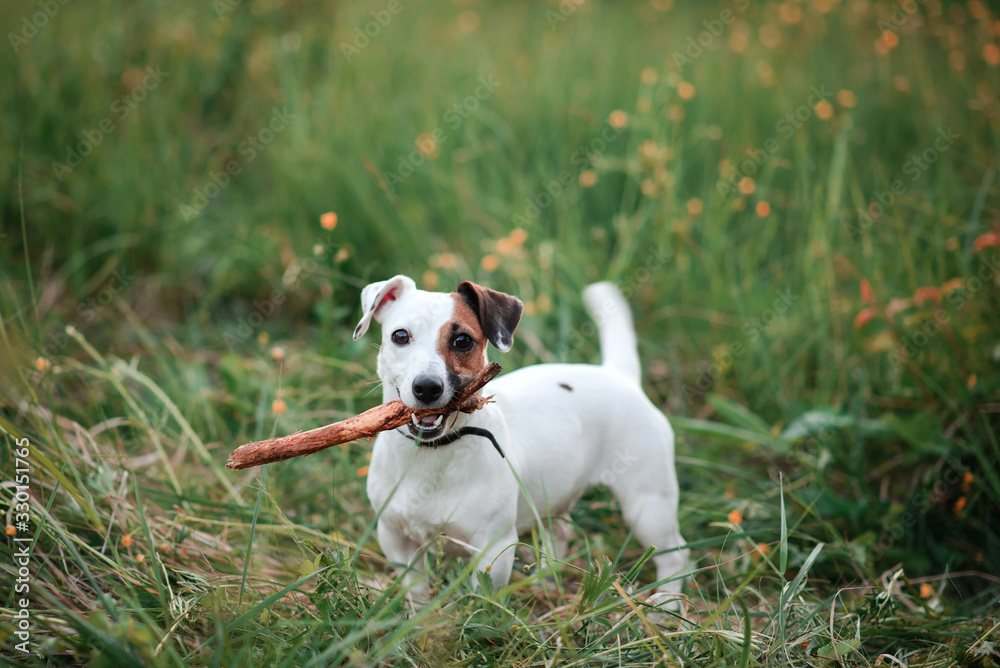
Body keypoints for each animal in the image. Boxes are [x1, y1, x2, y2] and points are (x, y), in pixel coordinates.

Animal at [352, 276, 688, 604]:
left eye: (462, 341)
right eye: (400, 336)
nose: (426, 387)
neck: (433, 452)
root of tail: (620, 377)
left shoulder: (493, 549)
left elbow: (483, 601)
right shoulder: (395, 538)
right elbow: (416, 594)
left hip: (648, 507)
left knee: (675, 555)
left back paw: (665, 606)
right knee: (560, 532)